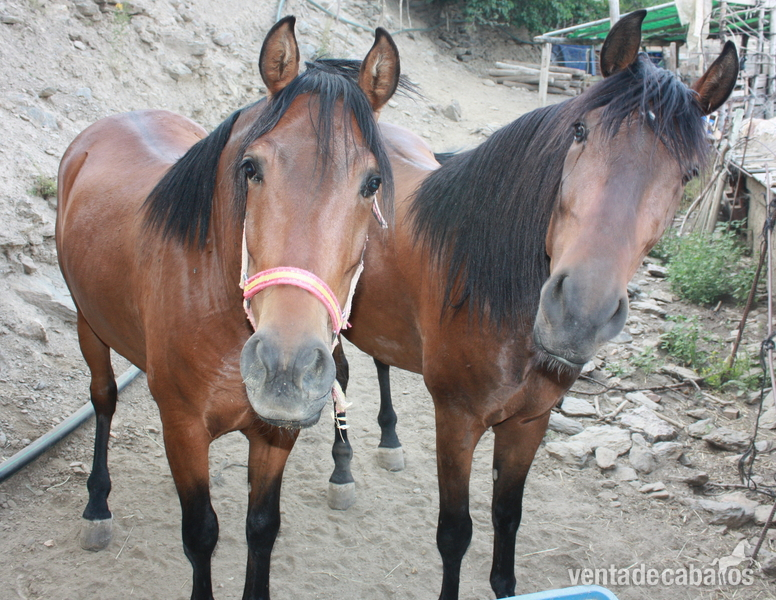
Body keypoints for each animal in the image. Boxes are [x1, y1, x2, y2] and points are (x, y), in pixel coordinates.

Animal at [55, 17, 400, 600]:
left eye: (371, 183)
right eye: (251, 169)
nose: (285, 368)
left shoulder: (276, 433)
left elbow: (261, 528)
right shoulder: (182, 428)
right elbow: (201, 534)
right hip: (87, 323)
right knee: (102, 399)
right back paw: (96, 506)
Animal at [325, 11, 739, 599]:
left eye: (687, 175)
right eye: (580, 131)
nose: (579, 315)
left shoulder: (529, 423)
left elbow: (507, 518)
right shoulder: (457, 421)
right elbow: (455, 533)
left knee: (379, 360)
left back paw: (388, 439)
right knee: (338, 373)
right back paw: (342, 470)